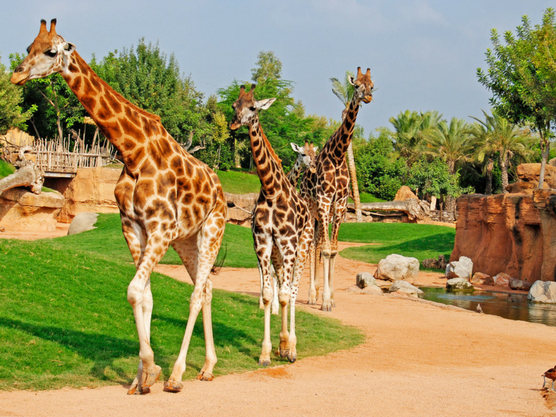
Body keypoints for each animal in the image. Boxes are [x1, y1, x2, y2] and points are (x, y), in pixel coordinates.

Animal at [11, 18, 227, 394]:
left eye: (51, 51)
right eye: (27, 48)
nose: (16, 75)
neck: (133, 151)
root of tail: (221, 190)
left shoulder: (160, 228)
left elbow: (134, 291)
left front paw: (154, 369)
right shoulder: (133, 227)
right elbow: (144, 295)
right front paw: (143, 377)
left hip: (211, 231)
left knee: (196, 293)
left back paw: (177, 376)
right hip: (187, 240)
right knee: (208, 289)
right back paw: (207, 367)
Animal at [229, 84, 312, 364]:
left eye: (253, 107)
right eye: (234, 105)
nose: (234, 123)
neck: (271, 189)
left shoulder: (288, 243)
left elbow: (286, 293)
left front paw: (287, 347)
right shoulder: (264, 242)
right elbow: (267, 294)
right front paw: (266, 352)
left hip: (302, 248)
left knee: (294, 290)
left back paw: (292, 347)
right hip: (278, 253)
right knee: (282, 286)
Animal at [300, 66, 374, 310]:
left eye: (372, 85)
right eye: (356, 85)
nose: (368, 97)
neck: (339, 155)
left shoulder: (339, 205)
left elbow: (332, 249)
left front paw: (331, 298)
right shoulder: (324, 200)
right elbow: (324, 249)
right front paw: (324, 301)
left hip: (324, 212)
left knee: (317, 243)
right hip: (311, 208)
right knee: (311, 245)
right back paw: (311, 295)